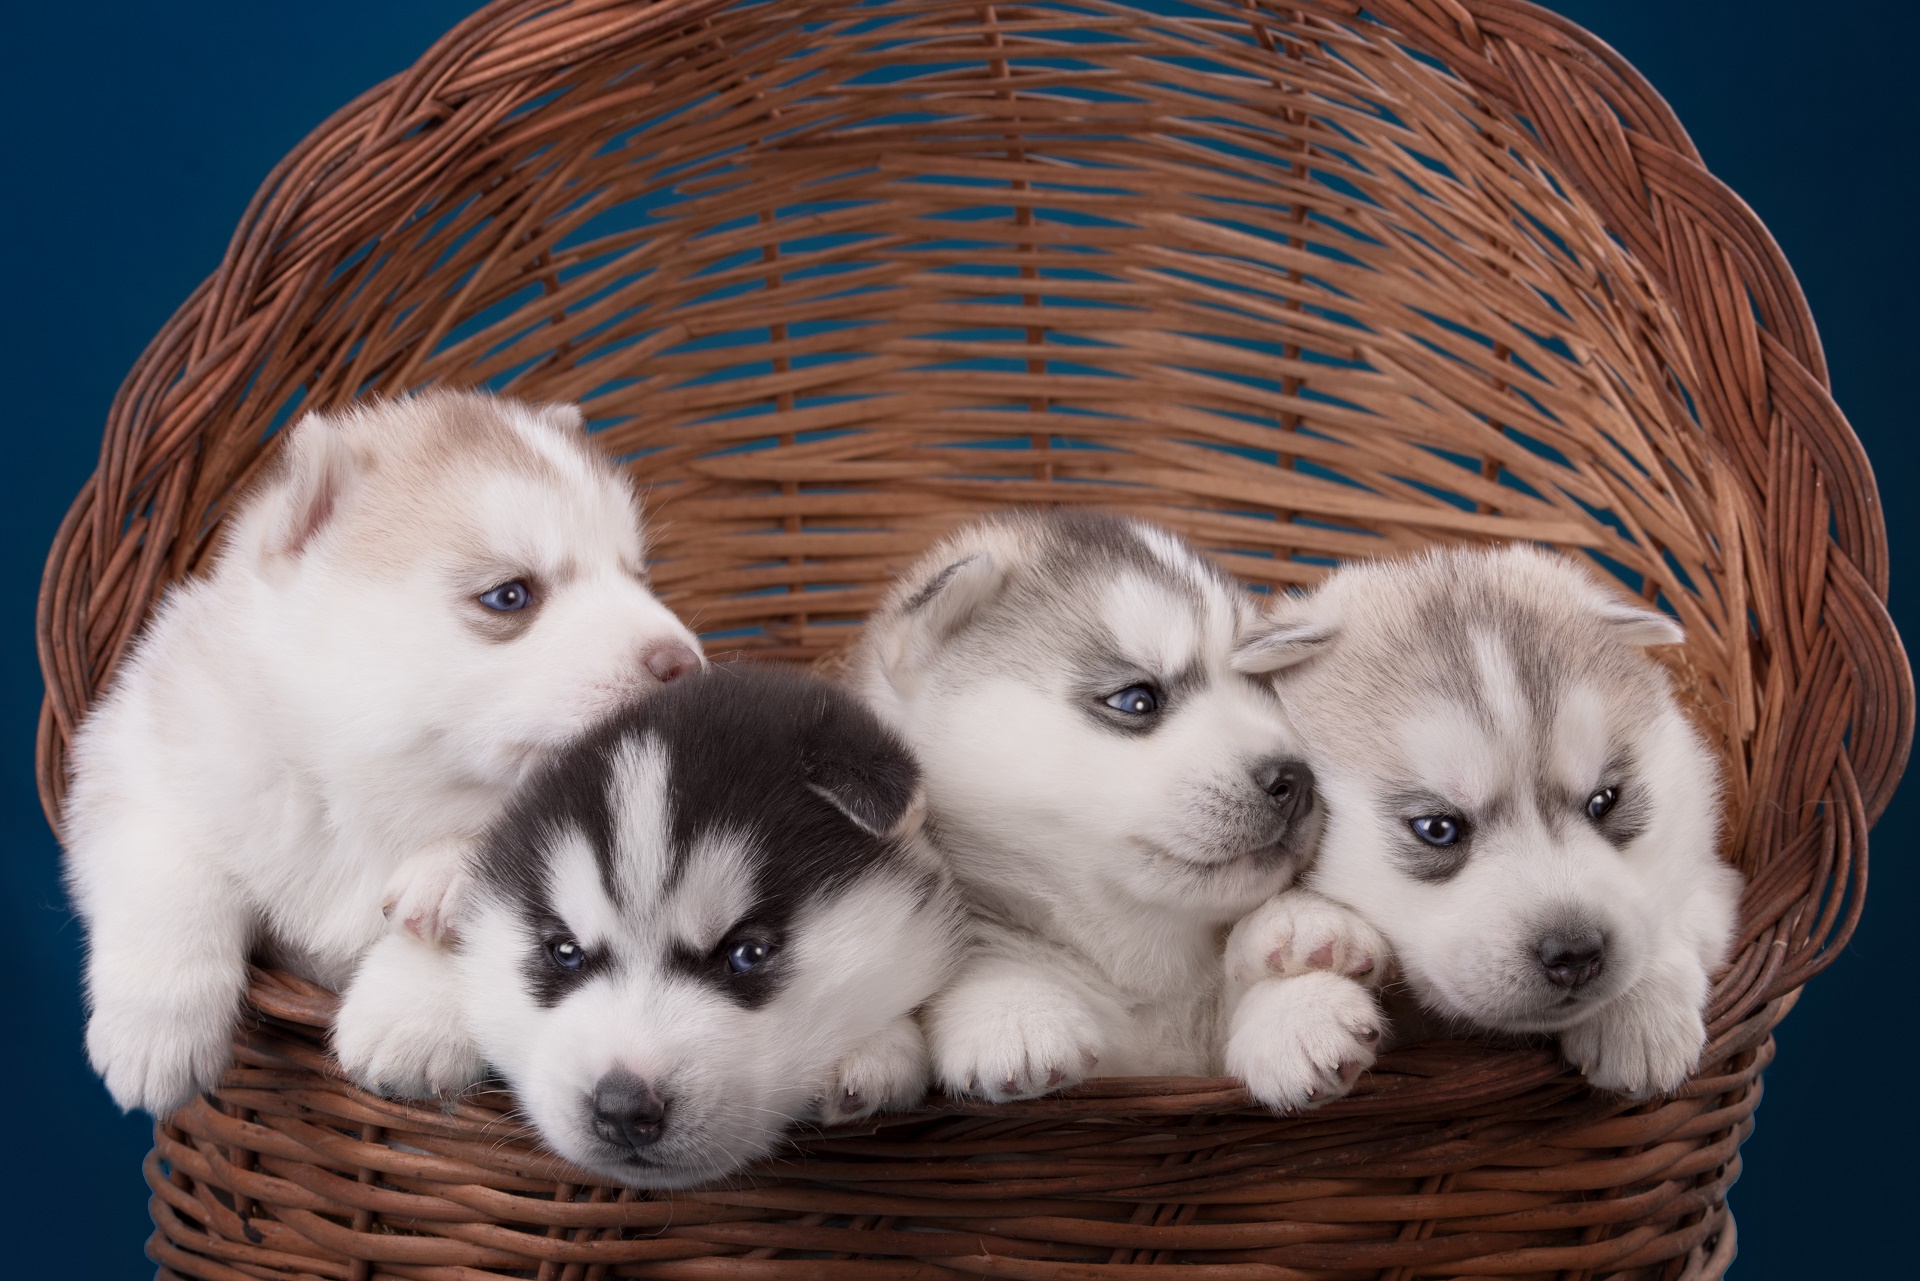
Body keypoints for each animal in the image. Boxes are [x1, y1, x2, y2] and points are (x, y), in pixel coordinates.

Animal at [60, 387, 706, 1113]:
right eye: (509, 595)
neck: (378, 795)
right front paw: (154, 1033)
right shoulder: (138, 750)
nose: (685, 665)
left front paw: (412, 1014)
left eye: (637, 575)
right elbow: (167, 866)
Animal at [852, 510, 1382, 1113]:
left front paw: (1297, 994)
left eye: (1265, 689)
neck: (1145, 972)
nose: (1296, 780)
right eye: (1136, 700)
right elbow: (983, 961)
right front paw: (1014, 1015)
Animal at [1236, 545, 1751, 1098]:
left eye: (1604, 801)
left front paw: (1639, 1009)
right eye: (1437, 828)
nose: (1574, 954)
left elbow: (1674, 908)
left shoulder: (1712, 877)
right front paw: (1297, 1009)